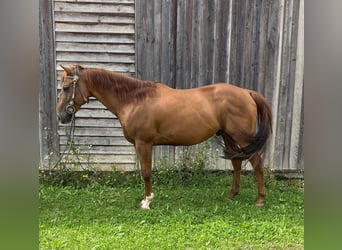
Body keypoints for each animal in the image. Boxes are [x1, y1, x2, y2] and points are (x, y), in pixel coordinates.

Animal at [58, 64, 272, 209]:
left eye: (66, 88)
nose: (62, 115)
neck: (134, 100)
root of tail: (246, 92)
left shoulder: (143, 143)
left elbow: (146, 173)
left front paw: (147, 202)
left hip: (241, 137)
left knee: (256, 163)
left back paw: (260, 199)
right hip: (229, 136)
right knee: (236, 163)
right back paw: (231, 195)